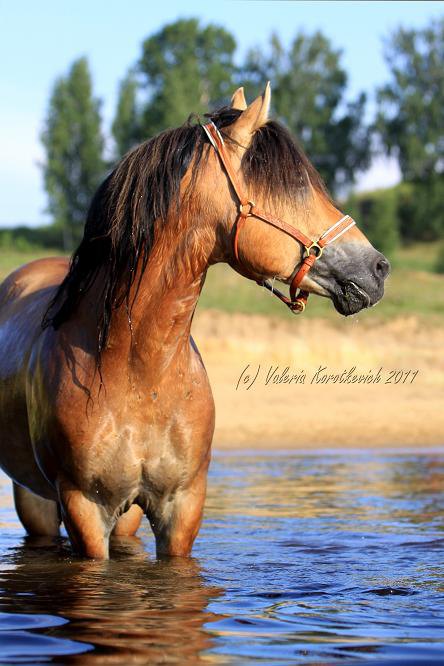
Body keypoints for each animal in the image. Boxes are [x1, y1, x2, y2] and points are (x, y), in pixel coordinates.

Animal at [0, 85, 388, 556]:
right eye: (296, 185)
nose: (378, 268)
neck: (138, 372)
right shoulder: (84, 509)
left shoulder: (181, 506)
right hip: (36, 502)